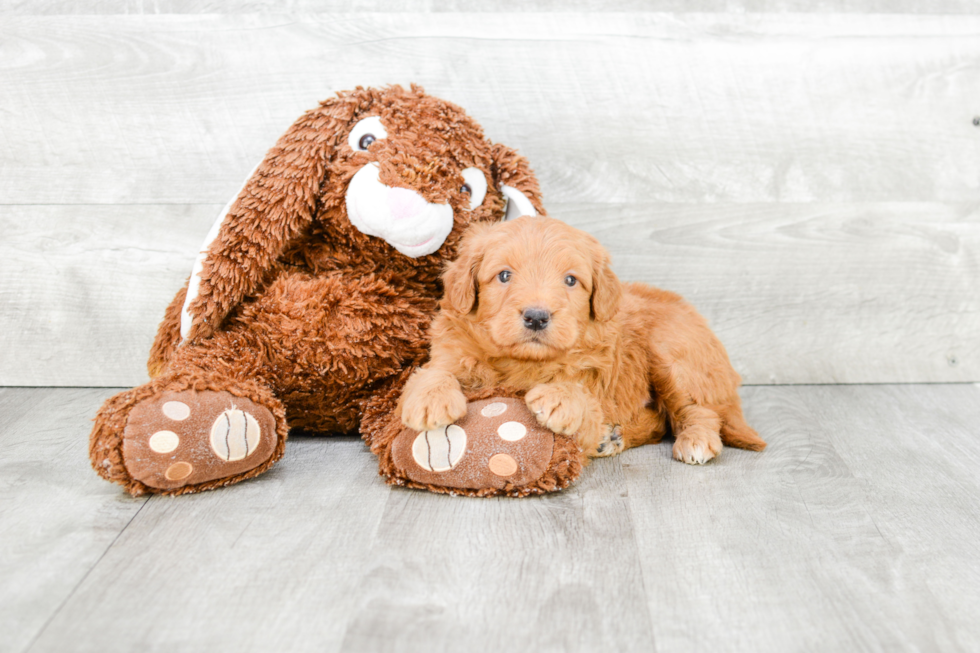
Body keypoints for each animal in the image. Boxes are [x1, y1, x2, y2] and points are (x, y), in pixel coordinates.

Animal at [398, 218, 764, 464]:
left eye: (571, 280)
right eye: (504, 275)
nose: (536, 316)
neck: (522, 362)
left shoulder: (599, 373)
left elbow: (583, 392)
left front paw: (560, 397)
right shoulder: (452, 349)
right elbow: (435, 370)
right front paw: (431, 398)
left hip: (672, 355)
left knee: (698, 410)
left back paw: (695, 440)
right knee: (661, 421)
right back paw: (612, 437)